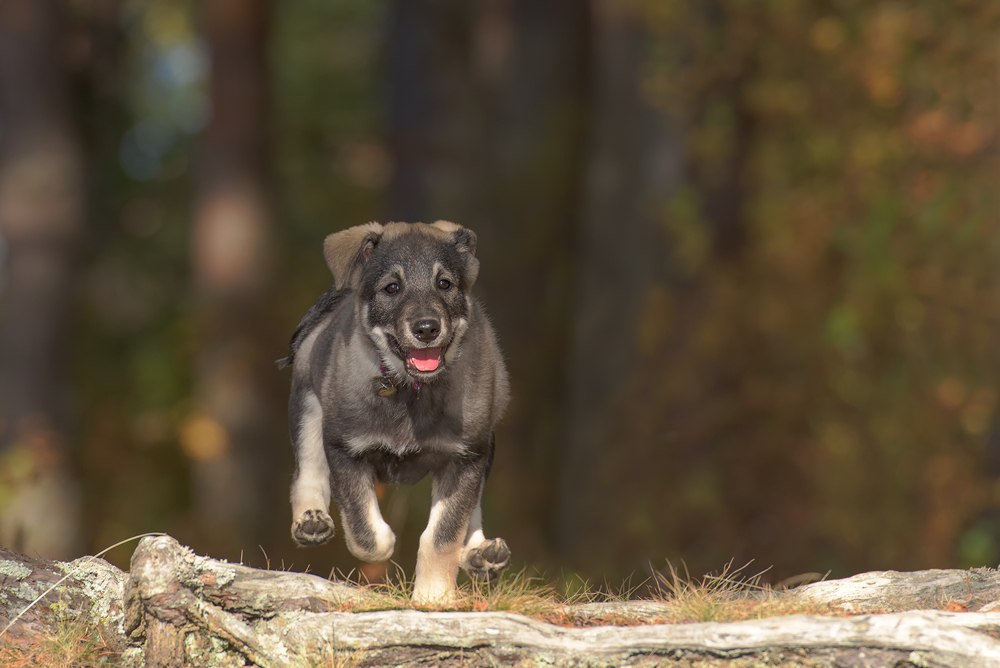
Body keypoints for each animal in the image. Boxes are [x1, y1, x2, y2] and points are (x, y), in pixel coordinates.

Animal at [280, 220, 508, 604]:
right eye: (392, 288)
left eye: (444, 284)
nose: (427, 328)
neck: (409, 389)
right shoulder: (344, 447)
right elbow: (367, 534)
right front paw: (386, 544)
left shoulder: (466, 457)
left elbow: (444, 533)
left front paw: (434, 596)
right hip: (307, 403)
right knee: (307, 471)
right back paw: (311, 519)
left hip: (487, 444)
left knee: (472, 508)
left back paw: (479, 552)